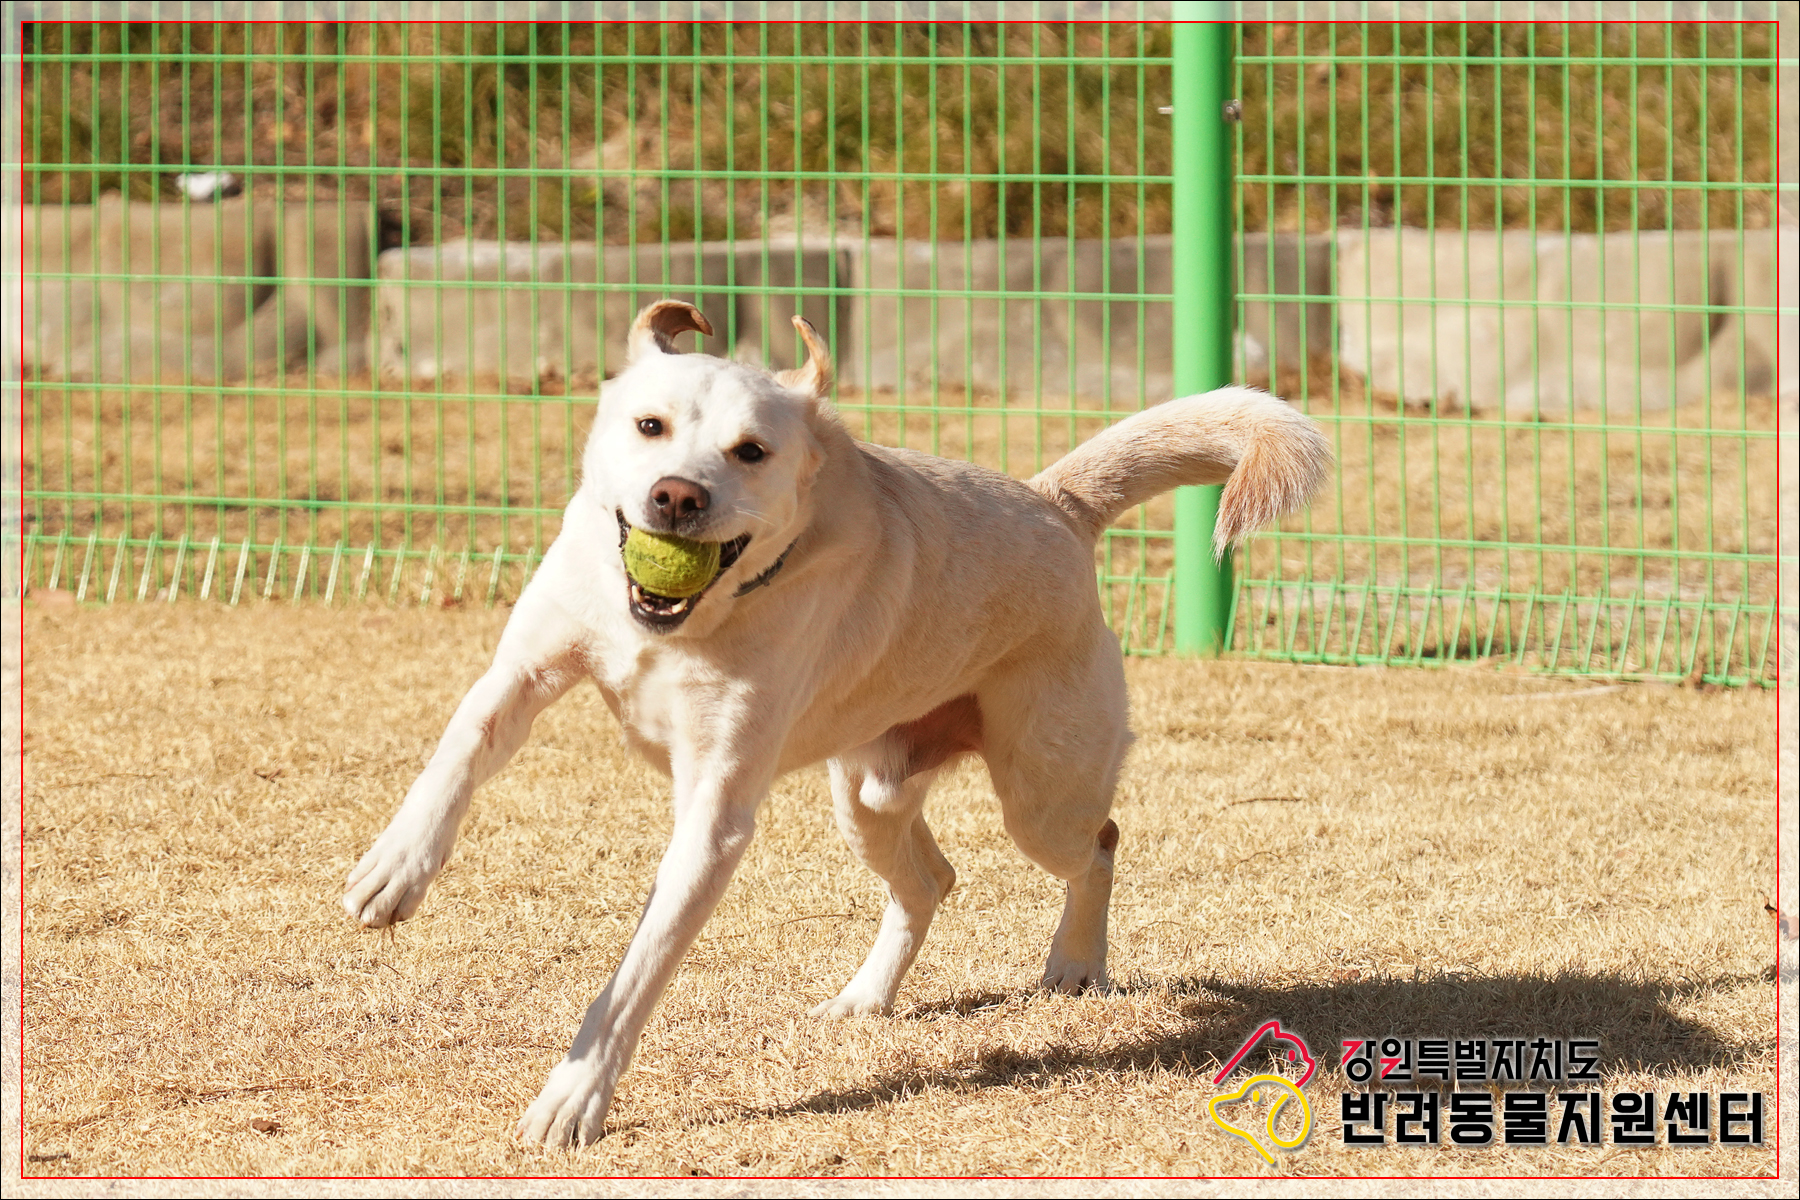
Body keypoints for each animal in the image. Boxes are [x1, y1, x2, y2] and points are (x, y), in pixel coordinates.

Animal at [344, 300, 1331, 1147]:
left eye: (750, 451)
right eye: (650, 426)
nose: (676, 498)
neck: (683, 622)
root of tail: (1055, 503)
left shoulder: (714, 817)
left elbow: (635, 978)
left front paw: (575, 1096)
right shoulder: (523, 671)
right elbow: (455, 755)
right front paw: (393, 871)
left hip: (1039, 793)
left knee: (1098, 844)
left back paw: (1074, 964)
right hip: (868, 795)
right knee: (931, 879)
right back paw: (866, 997)